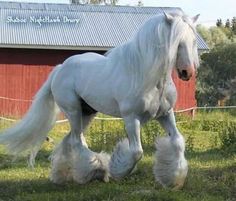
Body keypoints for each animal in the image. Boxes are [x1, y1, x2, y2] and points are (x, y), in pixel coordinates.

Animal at [0, 12, 199, 188]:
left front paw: (173, 180)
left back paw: (62, 175)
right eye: (177, 42)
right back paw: (96, 170)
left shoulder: (165, 114)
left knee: (70, 140)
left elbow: (178, 141)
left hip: (87, 113)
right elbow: (136, 152)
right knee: (76, 141)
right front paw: (117, 170)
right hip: (73, 110)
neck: (148, 77)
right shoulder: (131, 118)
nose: (187, 72)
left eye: (193, 41)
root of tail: (60, 68)